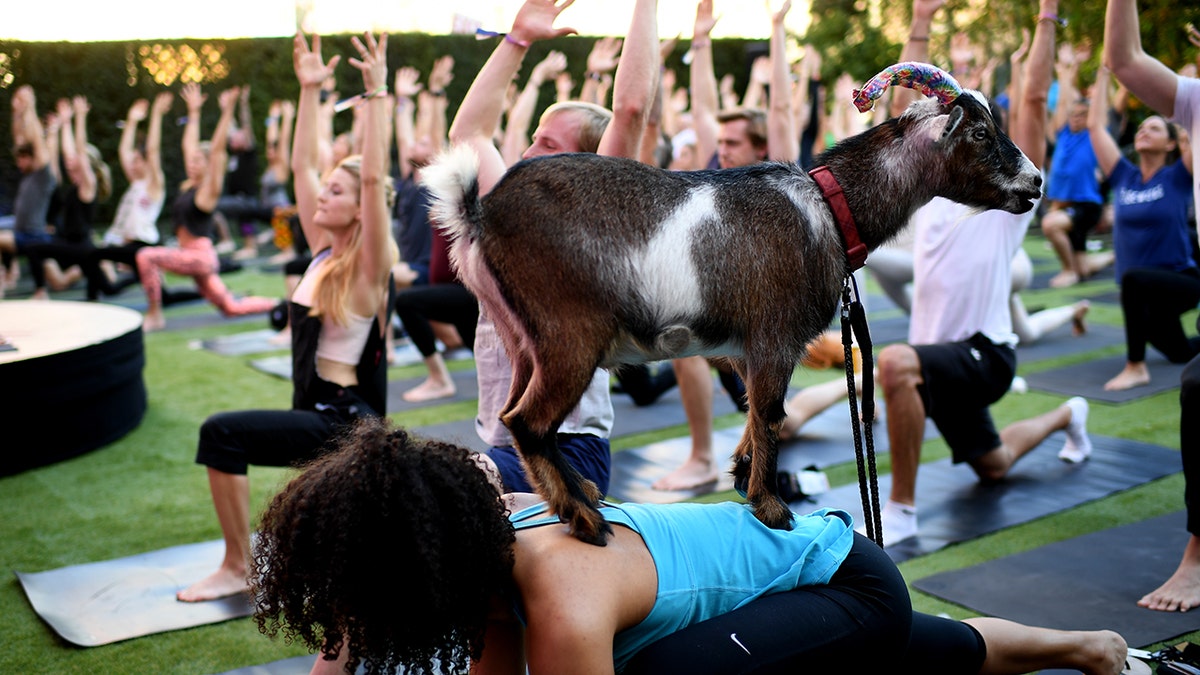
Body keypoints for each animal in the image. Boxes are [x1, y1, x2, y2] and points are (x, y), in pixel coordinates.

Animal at [422, 77, 1041, 547]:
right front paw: (772, 508)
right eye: (981, 133)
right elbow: (771, 413)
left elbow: (750, 412)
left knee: (511, 417)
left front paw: (743, 474)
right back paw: (586, 519)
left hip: (521, 340)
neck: (827, 208)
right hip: (569, 336)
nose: (1035, 181)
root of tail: (478, 212)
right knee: (529, 422)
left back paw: (581, 497)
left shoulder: (744, 348)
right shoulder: (776, 335)